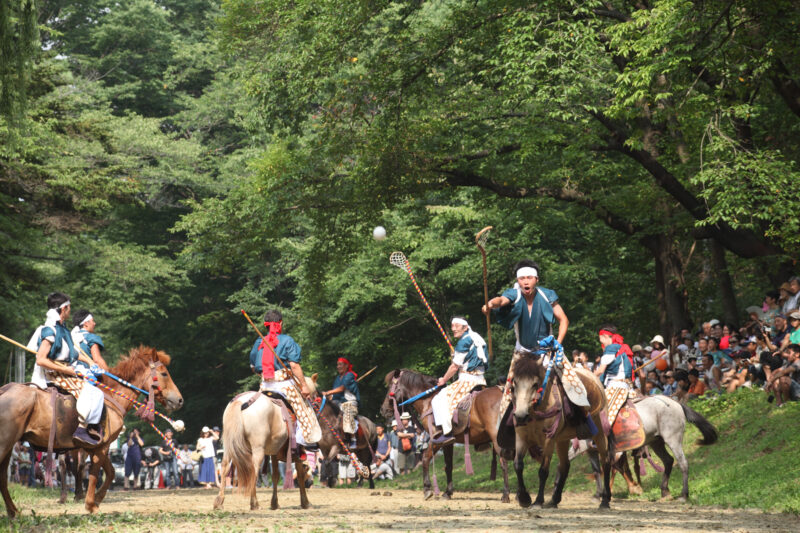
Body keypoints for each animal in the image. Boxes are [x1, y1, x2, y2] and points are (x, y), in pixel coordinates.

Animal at [0, 344, 183, 516]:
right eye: (164, 373)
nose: (179, 400)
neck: (112, 397)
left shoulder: (97, 447)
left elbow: (110, 472)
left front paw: (97, 498)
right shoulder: (101, 447)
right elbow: (95, 473)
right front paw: (90, 504)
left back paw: (13, 511)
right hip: (6, 442)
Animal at [378, 368, 510, 500]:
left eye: (390, 386)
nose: (383, 410)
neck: (427, 401)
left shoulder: (436, 440)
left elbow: (425, 459)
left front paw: (427, 489)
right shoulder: (448, 442)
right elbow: (449, 466)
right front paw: (448, 492)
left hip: (497, 438)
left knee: (504, 461)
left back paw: (505, 494)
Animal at [510, 354, 616, 508]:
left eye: (535, 384)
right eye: (515, 383)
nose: (520, 416)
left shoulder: (549, 440)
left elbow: (543, 471)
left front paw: (538, 501)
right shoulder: (521, 438)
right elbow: (518, 465)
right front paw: (524, 498)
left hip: (599, 433)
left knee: (606, 461)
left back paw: (605, 500)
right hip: (562, 440)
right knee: (565, 465)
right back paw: (554, 500)